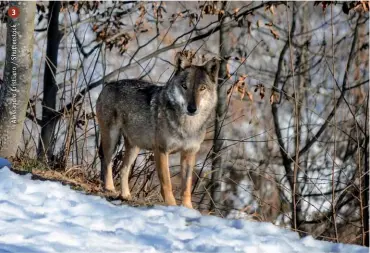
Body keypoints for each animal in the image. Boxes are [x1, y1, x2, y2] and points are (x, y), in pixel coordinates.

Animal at [95, 52, 221, 208]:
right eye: (184, 86)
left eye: (202, 88)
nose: (192, 108)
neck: (187, 126)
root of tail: (108, 85)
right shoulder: (161, 150)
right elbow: (167, 183)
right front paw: (171, 205)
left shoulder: (189, 153)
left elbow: (186, 186)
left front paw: (187, 208)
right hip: (112, 139)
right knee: (107, 162)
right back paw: (110, 188)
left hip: (134, 147)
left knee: (124, 169)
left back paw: (126, 196)